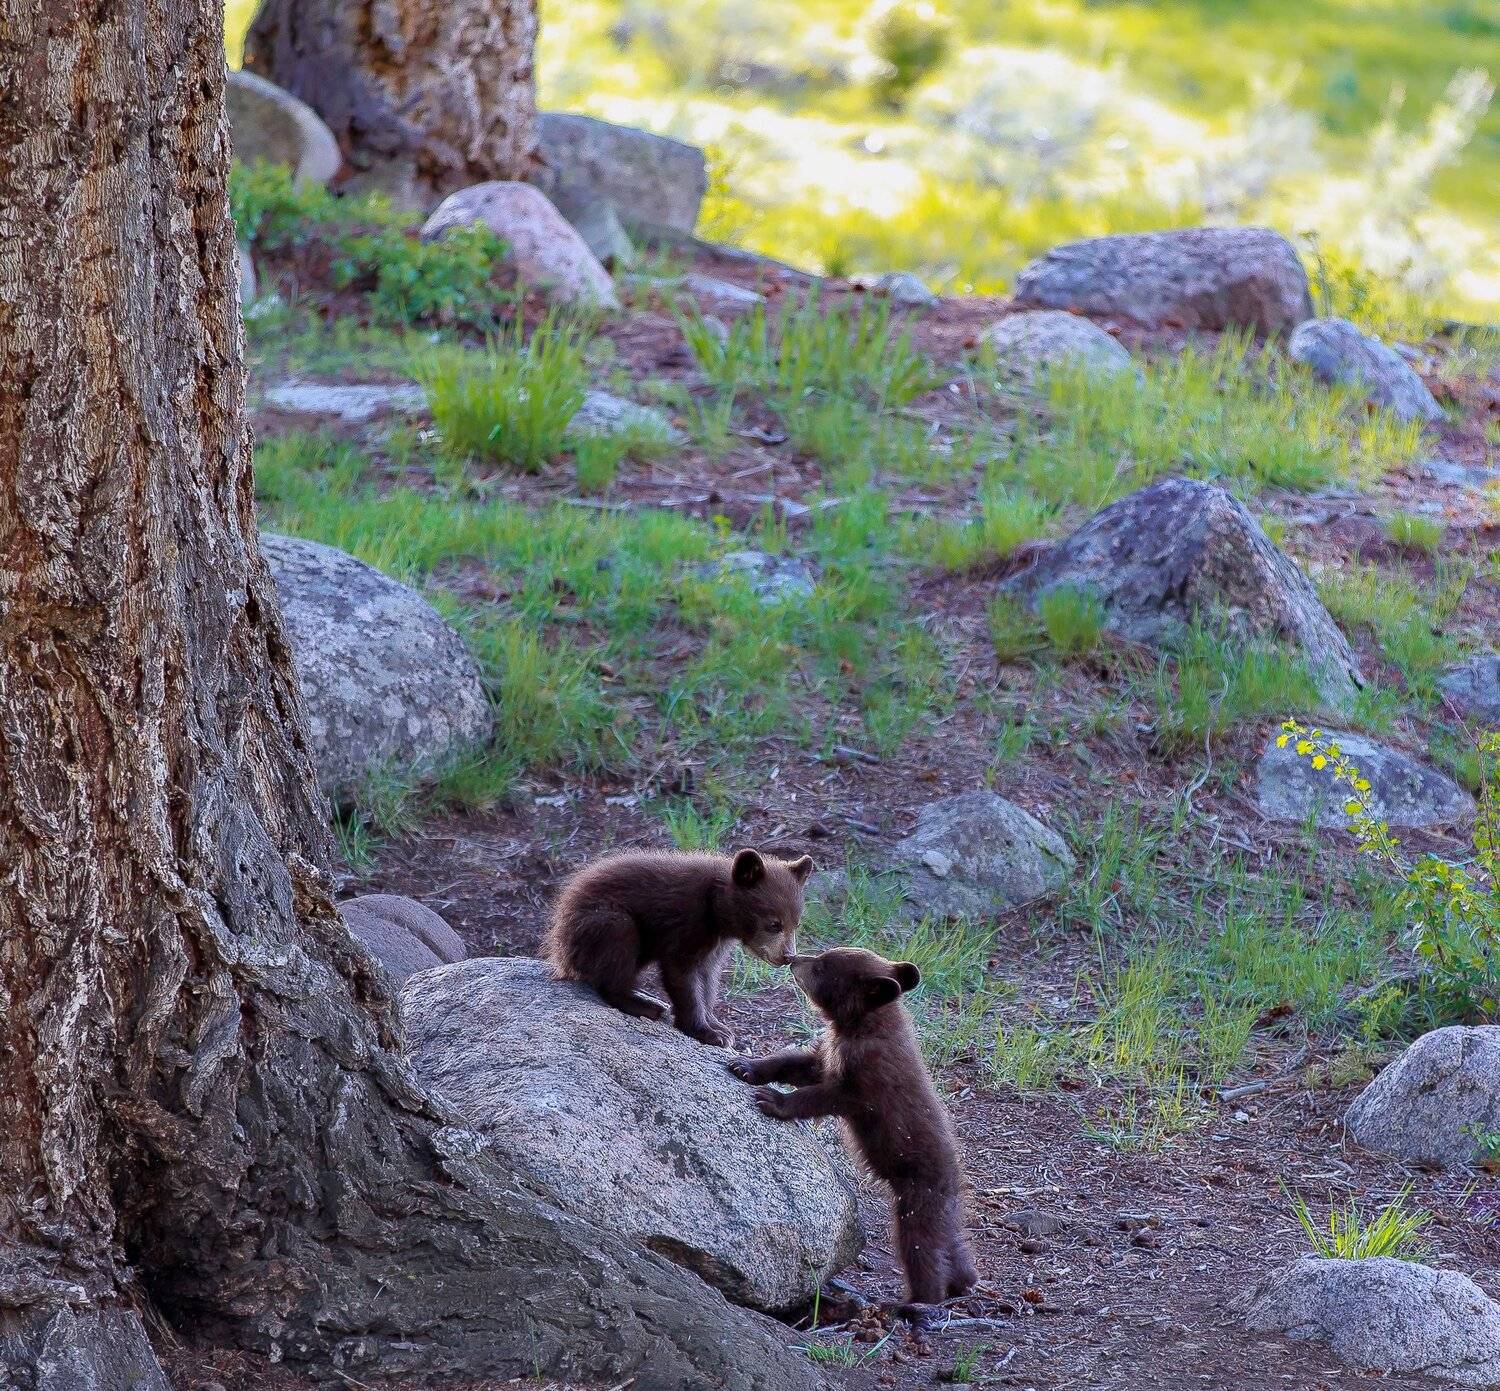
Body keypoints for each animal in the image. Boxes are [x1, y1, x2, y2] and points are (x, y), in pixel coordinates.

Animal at [543, 847, 813, 1047]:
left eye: (797, 923)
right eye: (774, 924)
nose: (788, 956)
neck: (715, 909)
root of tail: (558, 947)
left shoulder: (714, 942)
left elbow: (708, 976)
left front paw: (719, 1026)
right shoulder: (686, 923)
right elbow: (683, 972)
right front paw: (708, 1032)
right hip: (600, 921)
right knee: (618, 943)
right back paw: (644, 1004)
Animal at [729, 946, 977, 1314]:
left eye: (821, 966)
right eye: (822, 957)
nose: (793, 959)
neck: (859, 1026)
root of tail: (953, 1181)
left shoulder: (868, 1075)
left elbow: (828, 1095)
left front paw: (773, 1100)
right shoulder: (831, 1050)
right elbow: (801, 1063)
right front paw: (747, 1066)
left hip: (919, 1194)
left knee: (920, 1246)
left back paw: (915, 1302)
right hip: (942, 1209)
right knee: (952, 1243)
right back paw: (964, 1279)